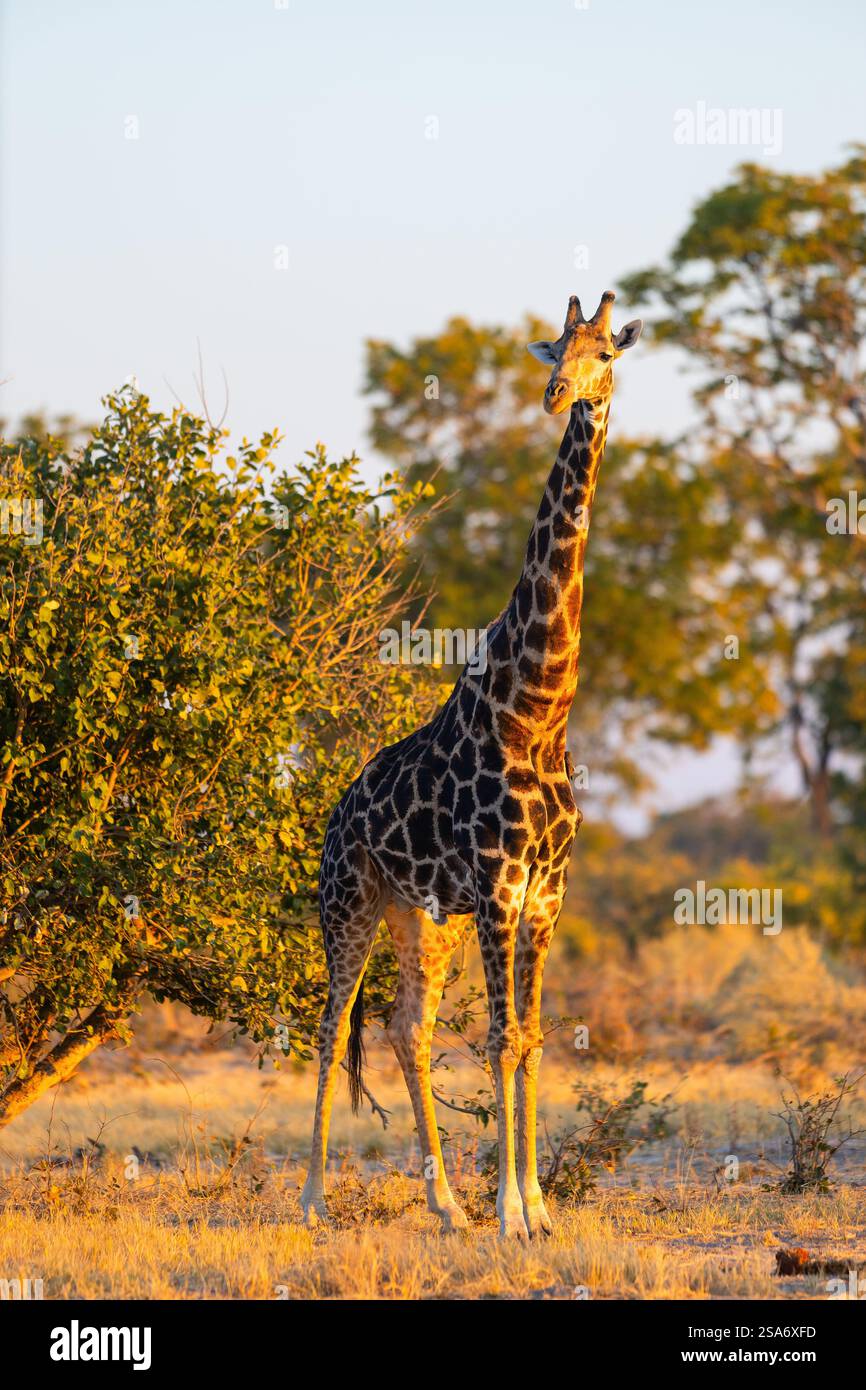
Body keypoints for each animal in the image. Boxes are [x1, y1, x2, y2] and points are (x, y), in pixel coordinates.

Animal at [300, 290, 641, 1239]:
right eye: (556, 348)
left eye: (606, 352)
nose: (560, 394)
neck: (538, 709)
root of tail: (335, 813)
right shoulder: (497, 886)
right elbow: (499, 1037)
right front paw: (513, 1215)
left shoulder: (545, 894)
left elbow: (530, 1036)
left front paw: (535, 1209)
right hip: (349, 901)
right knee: (330, 1024)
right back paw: (312, 1199)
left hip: (424, 919)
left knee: (405, 1028)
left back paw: (444, 1203)